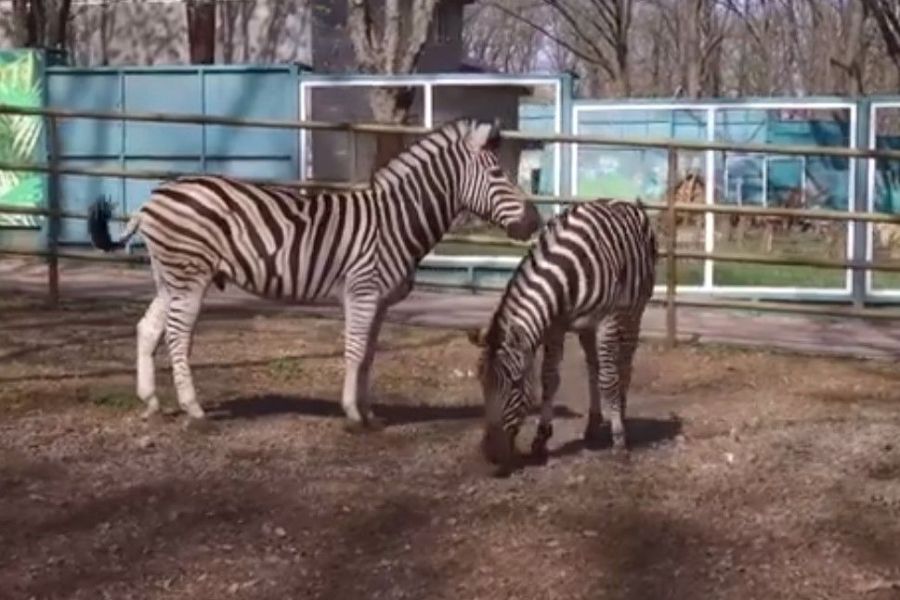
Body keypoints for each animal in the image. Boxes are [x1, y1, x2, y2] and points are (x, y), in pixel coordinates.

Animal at [89, 119, 540, 432]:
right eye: (498, 175)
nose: (534, 221)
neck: (394, 221)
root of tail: (150, 201)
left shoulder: (378, 302)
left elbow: (369, 356)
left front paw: (369, 412)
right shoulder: (361, 292)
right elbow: (355, 352)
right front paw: (353, 415)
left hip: (170, 278)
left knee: (148, 329)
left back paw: (151, 402)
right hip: (190, 275)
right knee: (178, 337)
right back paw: (194, 410)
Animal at [468, 199, 656, 472]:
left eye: (515, 384)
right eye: (482, 384)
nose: (491, 454)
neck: (567, 273)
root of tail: (623, 202)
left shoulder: (607, 321)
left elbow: (609, 381)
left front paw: (619, 441)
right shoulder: (555, 326)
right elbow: (549, 379)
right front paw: (540, 440)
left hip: (633, 313)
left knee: (624, 366)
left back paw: (620, 414)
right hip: (587, 329)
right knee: (593, 368)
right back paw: (593, 424)